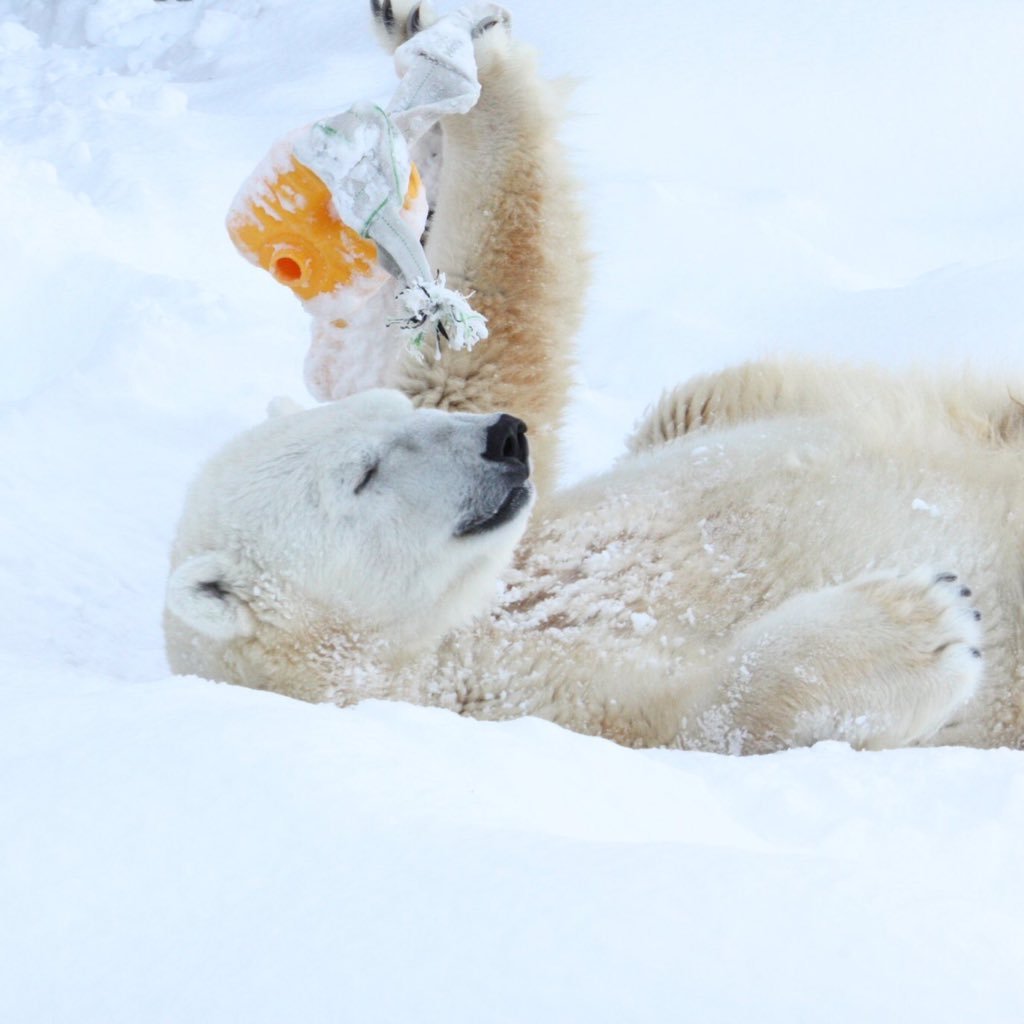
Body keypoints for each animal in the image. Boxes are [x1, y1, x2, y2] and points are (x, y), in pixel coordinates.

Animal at [163, 0, 1019, 753]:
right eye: (364, 475)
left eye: (395, 416)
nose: (504, 442)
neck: (445, 637)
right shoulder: (514, 700)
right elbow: (703, 722)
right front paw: (922, 623)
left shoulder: (525, 529)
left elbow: (494, 334)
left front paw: (451, 47)